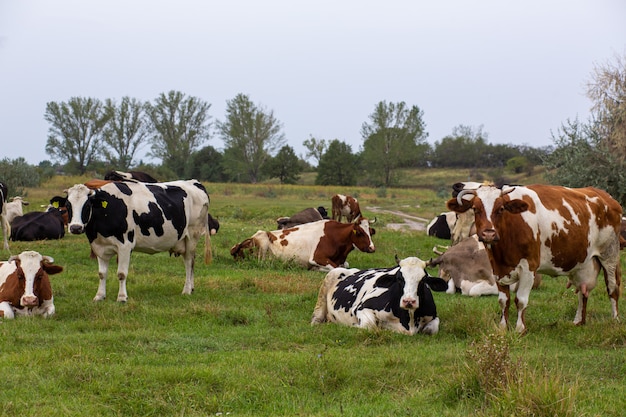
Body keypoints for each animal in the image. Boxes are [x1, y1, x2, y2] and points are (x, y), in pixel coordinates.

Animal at [65, 180, 211, 300]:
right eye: (68, 206)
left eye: (87, 206)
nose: (75, 228)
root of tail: (194, 182)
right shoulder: (100, 246)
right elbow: (101, 274)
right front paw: (99, 296)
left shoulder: (125, 245)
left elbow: (121, 273)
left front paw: (122, 297)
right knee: (191, 261)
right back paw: (191, 288)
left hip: (192, 235)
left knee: (189, 262)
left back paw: (186, 290)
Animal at [230, 216, 372, 272]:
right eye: (360, 232)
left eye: (370, 232)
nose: (372, 248)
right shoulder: (317, 257)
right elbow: (338, 268)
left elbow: (345, 265)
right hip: (263, 245)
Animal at [310, 255, 446, 334]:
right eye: (399, 278)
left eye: (423, 280)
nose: (409, 301)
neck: (409, 321)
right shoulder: (362, 307)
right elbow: (369, 325)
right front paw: (352, 326)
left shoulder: (434, 316)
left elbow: (431, 330)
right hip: (329, 278)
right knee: (317, 317)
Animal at [446, 184, 620, 334]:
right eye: (475, 209)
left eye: (501, 209)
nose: (489, 233)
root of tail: (606, 197)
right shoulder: (497, 269)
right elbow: (503, 300)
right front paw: (503, 327)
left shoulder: (529, 268)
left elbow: (521, 300)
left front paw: (520, 329)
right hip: (582, 264)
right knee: (582, 293)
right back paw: (578, 321)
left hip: (610, 255)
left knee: (612, 288)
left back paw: (615, 320)